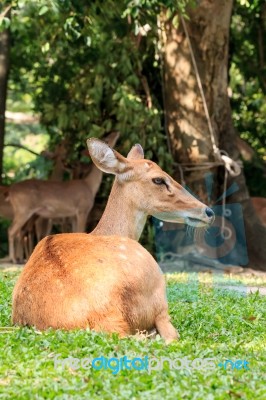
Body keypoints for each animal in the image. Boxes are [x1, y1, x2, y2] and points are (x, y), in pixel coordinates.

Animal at [7, 131, 119, 264]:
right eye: (106, 139)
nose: (116, 132)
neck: (89, 185)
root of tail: (11, 191)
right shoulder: (82, 210)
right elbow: (82, 230)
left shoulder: (73, 216)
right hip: (24, 210)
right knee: (12, 231)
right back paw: (14, 259)